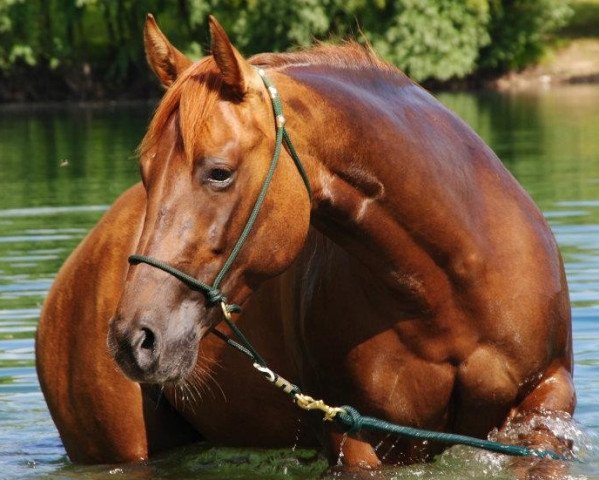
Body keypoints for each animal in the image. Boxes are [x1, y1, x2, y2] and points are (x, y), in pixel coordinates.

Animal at [36, 14, 576, 472]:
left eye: (219, 172)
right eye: (146, 173)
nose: (134, 339)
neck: (449, 290)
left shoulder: (547, 402)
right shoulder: (353, 436)